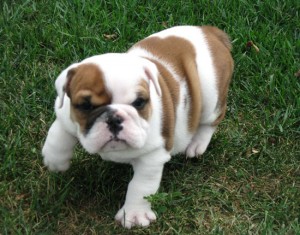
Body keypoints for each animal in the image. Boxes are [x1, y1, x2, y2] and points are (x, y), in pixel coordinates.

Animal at [42, 25, 234, 228]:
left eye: (139, 102)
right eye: (85, 106)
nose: (114, 119)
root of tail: (209, 31)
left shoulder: (153, 157)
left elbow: (140, 186)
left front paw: (135, 214)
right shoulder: (65, 113)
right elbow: (58, 132)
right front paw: (55, 160)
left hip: (210, 93)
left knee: (212, 119)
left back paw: (197, 144)